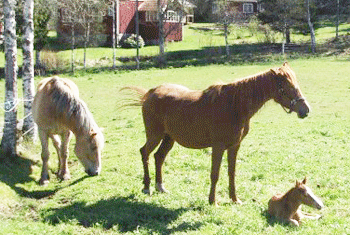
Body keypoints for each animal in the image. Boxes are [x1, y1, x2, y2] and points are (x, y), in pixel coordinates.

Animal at [122, 63, 308, 205]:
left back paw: (160, 186)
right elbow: (215, 174)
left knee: (159, 157)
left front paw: (234, 199)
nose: (305, 110)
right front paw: (213, 201)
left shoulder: (234, 146)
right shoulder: (218, 147)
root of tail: (150, 93)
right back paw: (146, 187)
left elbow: (232, 173)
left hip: (169, 138)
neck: (234, 106)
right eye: (288, 87)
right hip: (155, 135)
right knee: (144, 153)